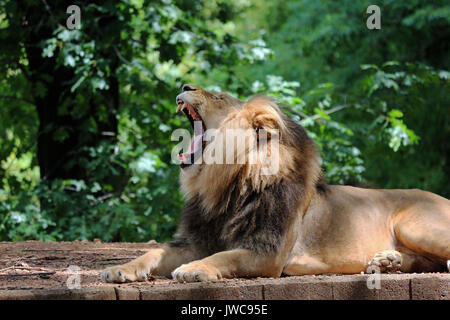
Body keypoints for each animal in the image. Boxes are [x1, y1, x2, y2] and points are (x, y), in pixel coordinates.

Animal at [102, 84, 450, 282]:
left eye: (218, 97)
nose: (185, 83)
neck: (227, 187)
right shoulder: (196, 240)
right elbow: (153, 253)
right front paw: (119, 269)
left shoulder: (268, 252)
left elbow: (224, 256)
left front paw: (193, 269)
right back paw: (388, 262)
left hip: (414, 226)